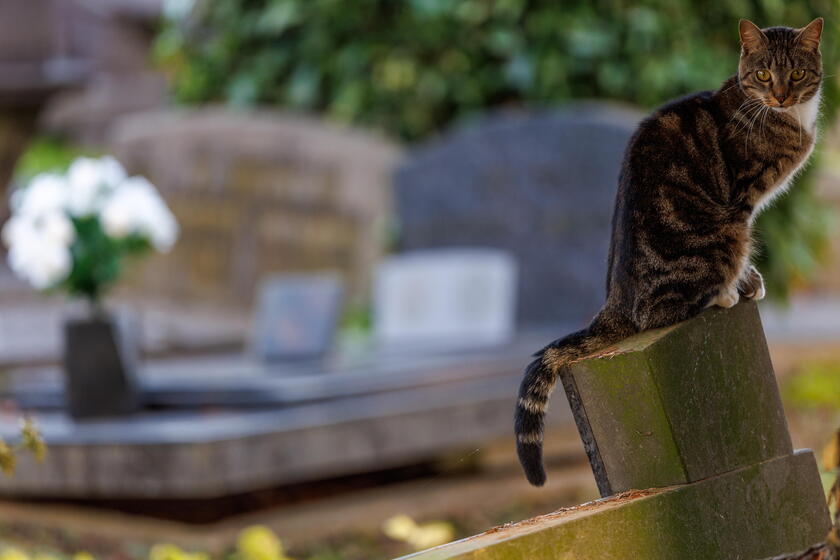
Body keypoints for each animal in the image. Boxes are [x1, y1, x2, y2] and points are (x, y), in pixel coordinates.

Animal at [516, 17, 824, 486]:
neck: (785, 117)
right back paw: (722, 294)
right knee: (669, 306)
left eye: (798, 73)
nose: (781, 95)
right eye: (763, 75)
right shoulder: (742, 200)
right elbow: (744, 252)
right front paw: (742, 284)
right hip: (723, 234)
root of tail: (616, 303)